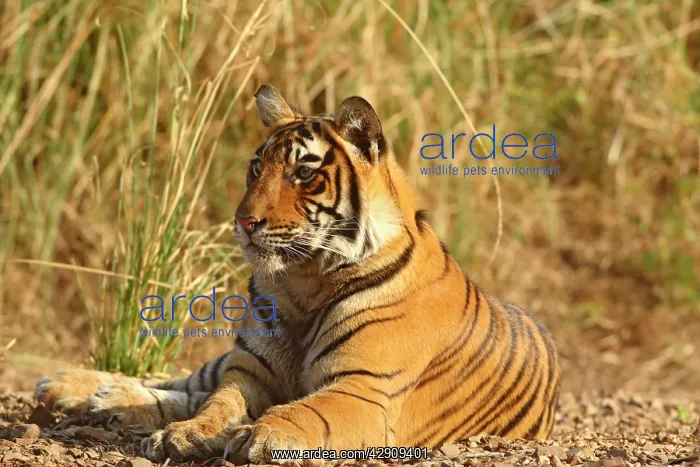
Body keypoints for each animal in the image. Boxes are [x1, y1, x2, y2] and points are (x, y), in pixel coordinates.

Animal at [34, 84, 562, 464]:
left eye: (303, 174)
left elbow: (308, 409)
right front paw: (186, 435)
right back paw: (75, 387)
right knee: (186, 381)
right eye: (255, 167)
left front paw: (262, 434)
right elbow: (214, 405)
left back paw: (101, 397)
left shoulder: (364, 389)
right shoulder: (249, 371)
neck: (307, 279)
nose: (244, 221)